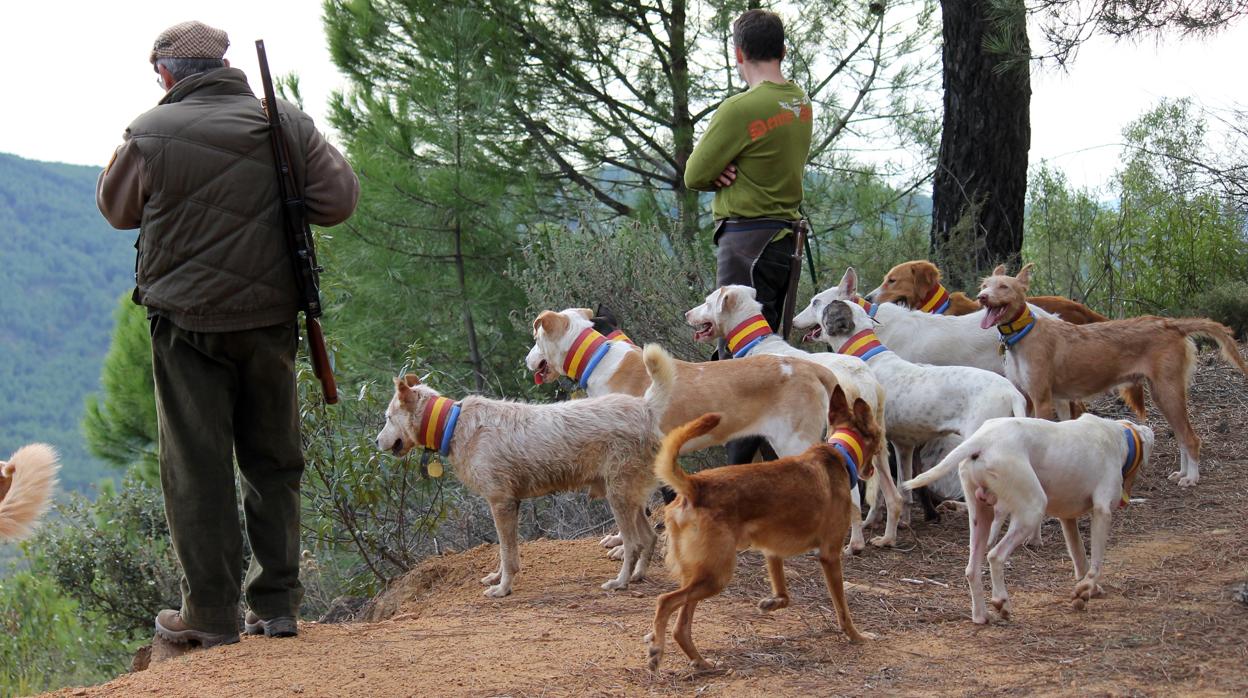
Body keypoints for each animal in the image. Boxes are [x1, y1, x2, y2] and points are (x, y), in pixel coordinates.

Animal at [643, 384, 878, 674]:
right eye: (878, 437)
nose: (871, 471)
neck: (838, 453)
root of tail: (695, 486)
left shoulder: (771, 551)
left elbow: (784, 594)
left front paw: (771, 603)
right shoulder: (830, 556)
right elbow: (843, 609)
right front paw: (857, 636)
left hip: (700, 573)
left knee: (681, 626)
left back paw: (701, 662)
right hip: (715, 575)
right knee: (665, 601)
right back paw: (657, 651)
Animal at [688, 287, 903, 554]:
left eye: (707, 302)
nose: (687, 314)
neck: (760, 343)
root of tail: (861, 382)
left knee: (853, 496)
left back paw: (853, 544)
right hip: (879, 446)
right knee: (894, 497)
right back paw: (887, 537)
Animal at [903, 412, 1153, 624]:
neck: (1119, 436)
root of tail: (982, 441)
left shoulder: (1067, 519)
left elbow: (1080, 556)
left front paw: (1087, 590)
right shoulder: (1102, 512)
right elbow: (1096, 563)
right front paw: (1087, 588)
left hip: (980, 515)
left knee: (972, 569)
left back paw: (981, 615)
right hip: (1031, 510)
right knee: (995, 556)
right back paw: (1001, 602)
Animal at [978, 264, 1243, 489]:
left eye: (1004, 287)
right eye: (985, 285)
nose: (981, 297)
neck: (1024, 333)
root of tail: (1171, 323)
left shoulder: (1042, 399)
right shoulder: (1038, 399)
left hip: (1168, 392)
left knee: (1191, 438)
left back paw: (1192, 478)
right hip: (1163, 395)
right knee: (1181, 436)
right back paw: (1183, 473)